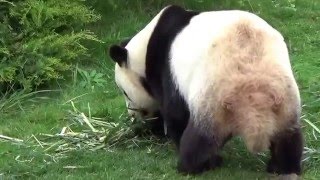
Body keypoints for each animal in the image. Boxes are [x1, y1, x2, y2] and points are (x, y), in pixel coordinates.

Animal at [109, 4, 304, 178]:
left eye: (125, 93)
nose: (132, 115)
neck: (145, 48)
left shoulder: (167, 69)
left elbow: (174, 113)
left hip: (214, 99)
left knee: (199, 140)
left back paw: (196, 165)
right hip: (283, 98)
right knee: (288, 138)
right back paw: (283, 167)